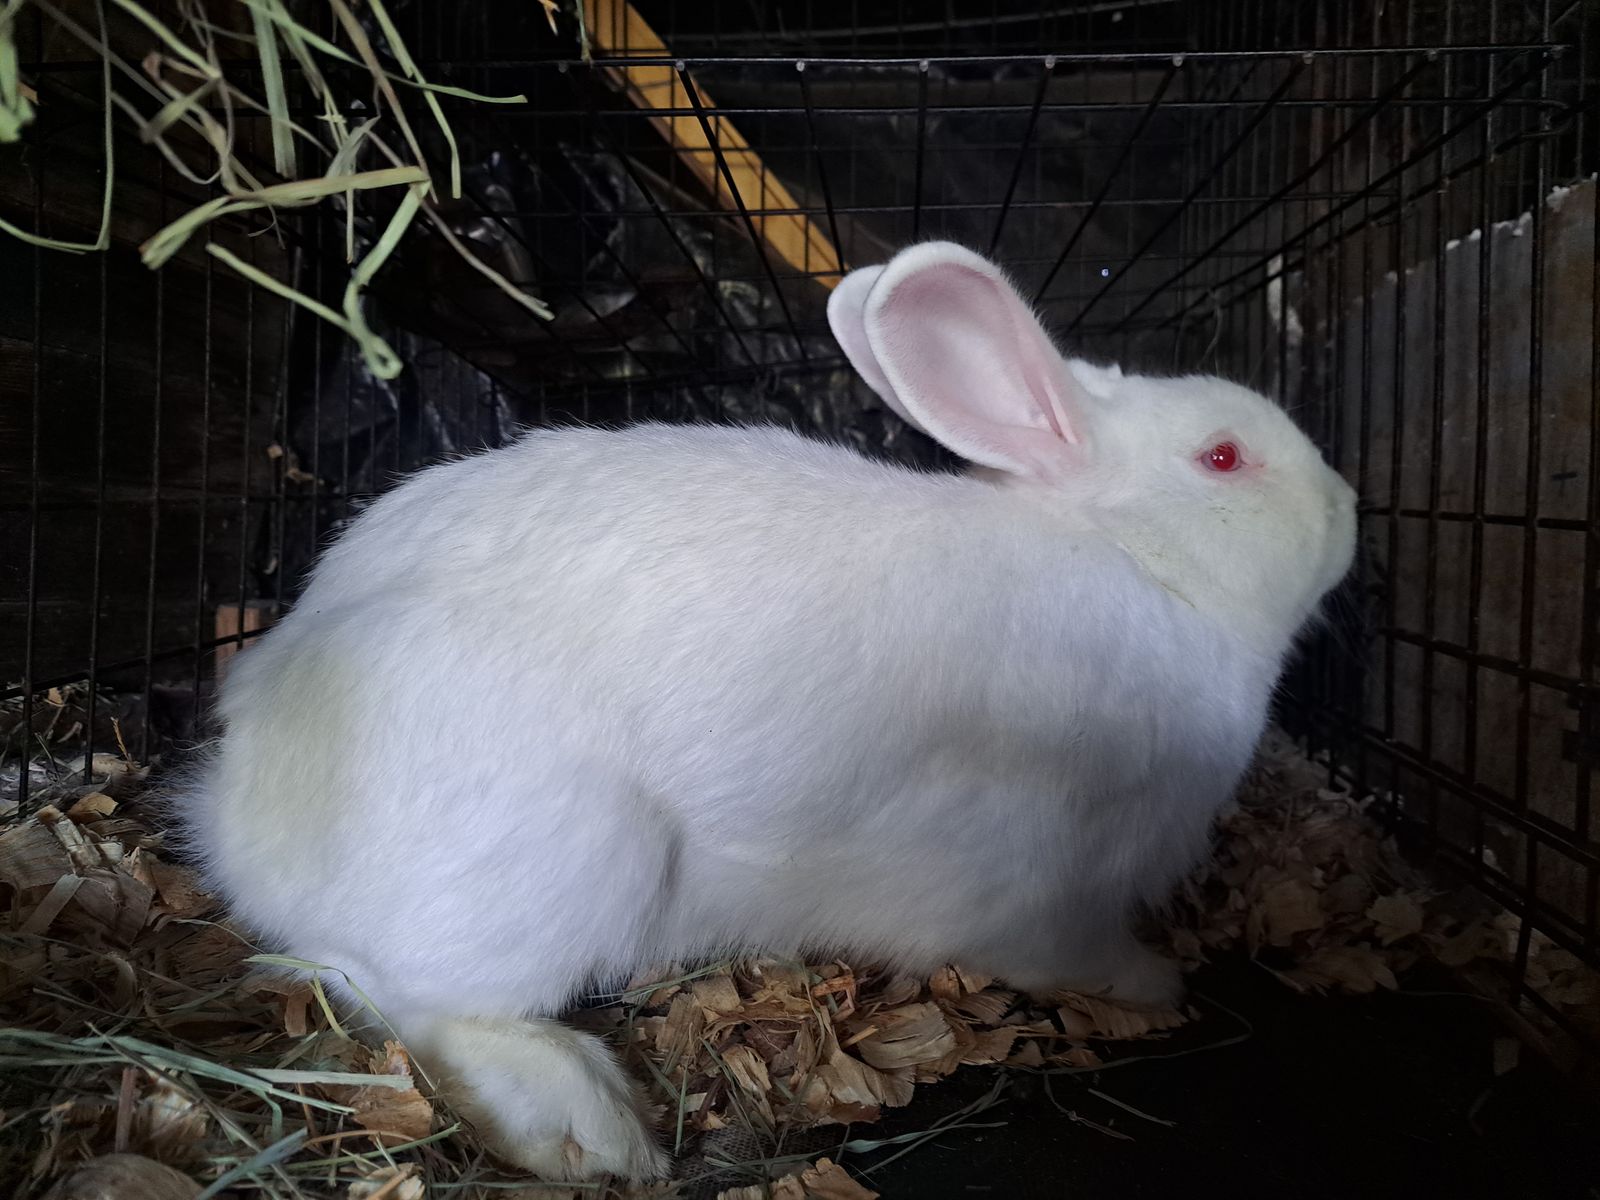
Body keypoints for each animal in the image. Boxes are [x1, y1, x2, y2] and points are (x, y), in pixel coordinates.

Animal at [178, 241, 1357, 1181]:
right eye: (1222, 456)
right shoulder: (1045, 889)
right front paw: (1163, 984)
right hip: (565, 858)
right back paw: (593, 1125)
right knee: (415, 999)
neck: (1140, 565)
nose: (1350, 504)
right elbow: (1077, 955)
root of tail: (239, 818)